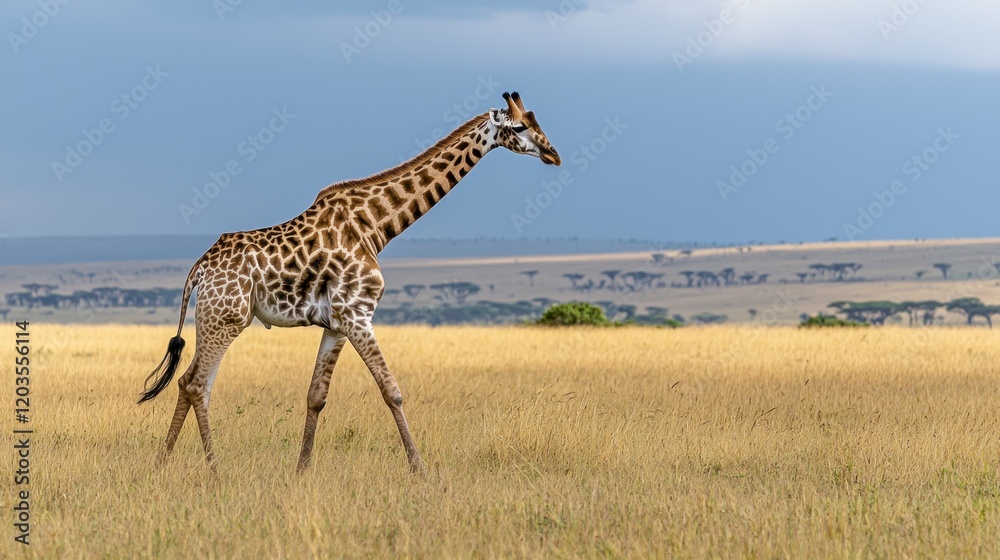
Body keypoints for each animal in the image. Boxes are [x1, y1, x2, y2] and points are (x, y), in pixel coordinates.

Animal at [140, 91, 560, 473]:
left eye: (536, 120)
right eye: (519, 127)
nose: (553, 155)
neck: (373, 226)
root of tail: (199, 268)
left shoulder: (337, 324)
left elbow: (316, 395)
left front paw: (301, 470)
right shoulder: (358, 315)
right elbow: (392, 391)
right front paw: (419, 469)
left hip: (215, 319)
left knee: (188, 382)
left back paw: (162, 464)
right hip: (225, 319)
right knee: (197, 384)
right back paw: (214, 472)